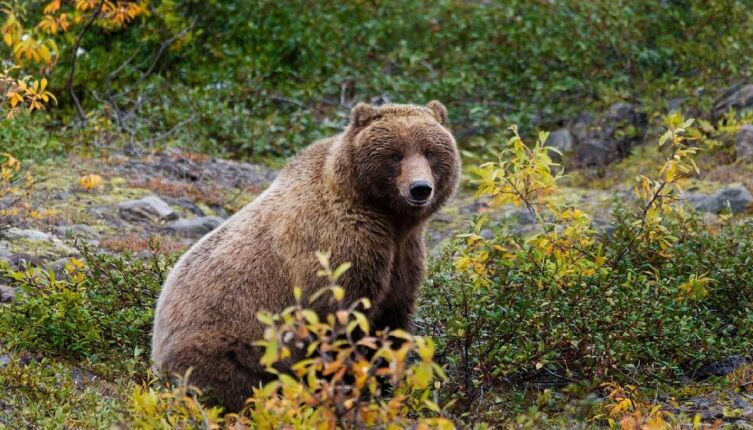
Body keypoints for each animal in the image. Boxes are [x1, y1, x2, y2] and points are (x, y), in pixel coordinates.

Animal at [151, 100, 461, 411]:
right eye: (395, 154)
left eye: (430, 151)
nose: (420, 188)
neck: (385, 217)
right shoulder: (338, 248)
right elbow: (340, 322)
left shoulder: (403, 255)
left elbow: (392, 322)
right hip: (229, 344)